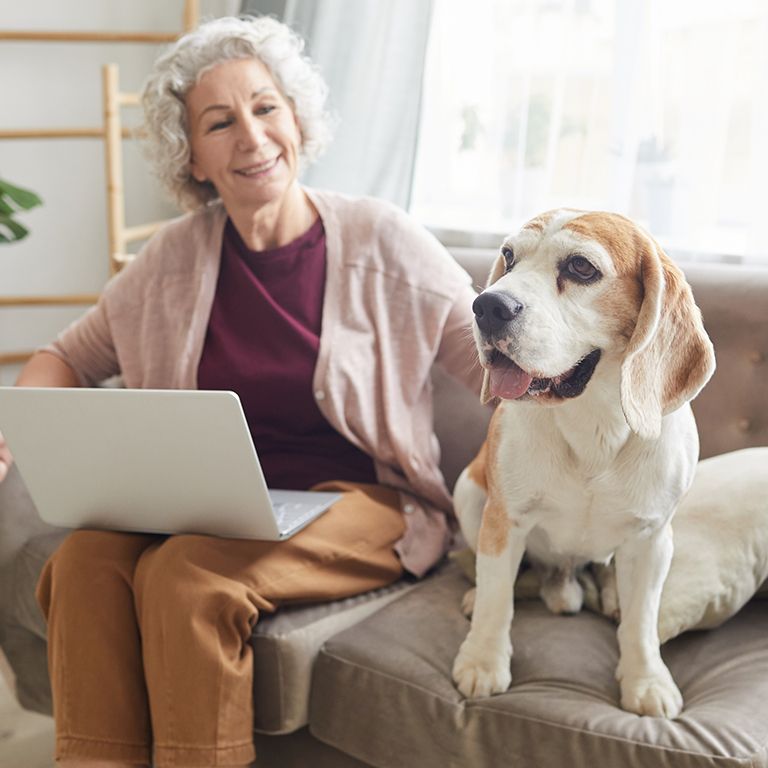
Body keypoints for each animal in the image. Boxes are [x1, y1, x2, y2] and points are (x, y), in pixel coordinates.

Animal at [452, 207, 716, 716]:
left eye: (580, 267)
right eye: (508, 256)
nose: (487, 306)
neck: (593, 422)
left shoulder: (653, 539)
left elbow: (641, 622)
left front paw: (645, 680)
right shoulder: (504, 520)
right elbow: (498, 600)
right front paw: (482, 660)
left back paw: (610, 594)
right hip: (469, 494)